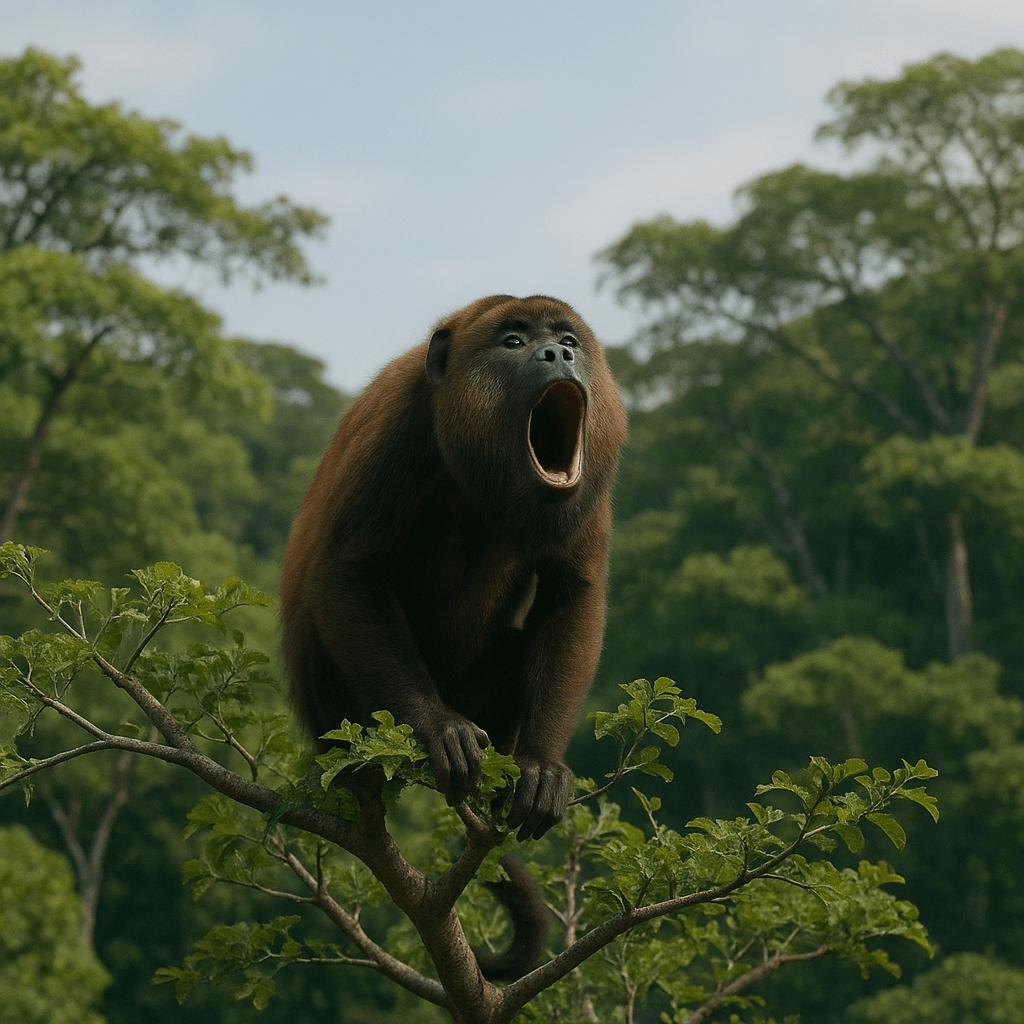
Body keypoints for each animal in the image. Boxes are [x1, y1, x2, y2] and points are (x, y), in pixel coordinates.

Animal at [280, 295, 627, 980]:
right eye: (515, 342)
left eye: (568, 338)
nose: (557, 353)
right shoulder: (401, 421)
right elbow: (348, 573)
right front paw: (437, 728)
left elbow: (574, 591)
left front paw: (543, 766)